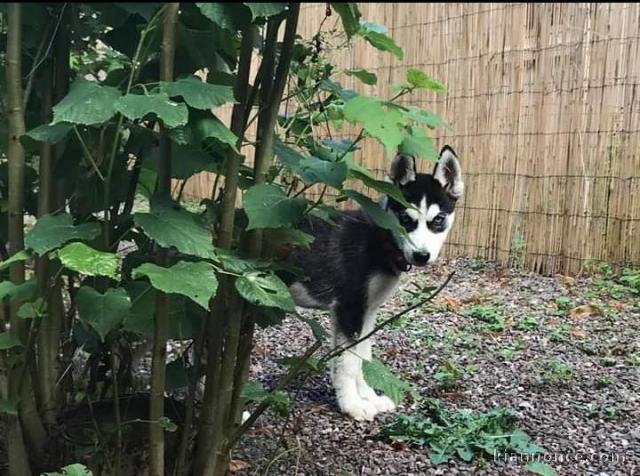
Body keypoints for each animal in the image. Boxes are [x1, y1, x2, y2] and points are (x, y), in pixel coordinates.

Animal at [288, 146, 462, 420]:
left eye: (438, 219)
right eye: (405, 219)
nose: (421, 256)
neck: (381, 238)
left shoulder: (367, 312)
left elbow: (363, 357)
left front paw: (368, 397)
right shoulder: (349, 309)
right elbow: (348, 363)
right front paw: (352, 406)